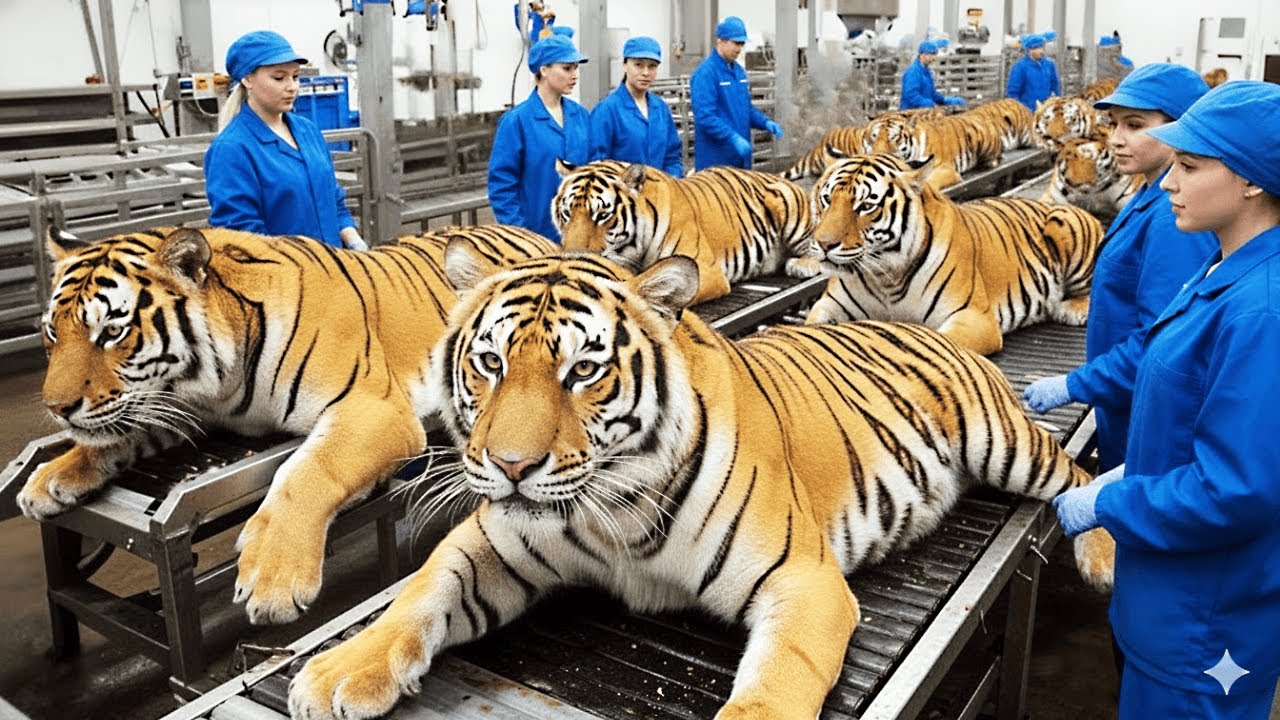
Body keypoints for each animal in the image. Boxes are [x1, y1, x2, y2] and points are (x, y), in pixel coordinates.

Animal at [16, 224, 554, 625]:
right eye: (51, 332)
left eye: (112, 332)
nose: (57, 407)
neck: (217, 384)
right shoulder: (184, 409)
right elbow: (122, 433)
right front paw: (50, 478)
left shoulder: (374, 409)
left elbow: (305, 473)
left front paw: (272, 578)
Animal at [286, 246, 1108, 720]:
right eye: (490, 363)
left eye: (582, 371)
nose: (512, 466)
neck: (609, 512)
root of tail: (911, 325)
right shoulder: (495, 541)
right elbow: (420, 592)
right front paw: (339, 671)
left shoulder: (803, 581)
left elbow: (772, 691)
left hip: (1004, 442)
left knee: (1075, 475)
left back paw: (1100, 556)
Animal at [553, 160, 819, 304]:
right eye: (567, 213)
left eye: (602, 215)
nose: (573, 255)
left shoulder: (703, 271)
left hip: (790, 207)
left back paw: (802, 265)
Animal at [803, 153, 1102, 355]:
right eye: (827, 199)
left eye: (865, 206)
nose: (824, 244)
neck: (886, 277)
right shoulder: (829, 306)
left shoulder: (974, 318)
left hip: (1064, 221)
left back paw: (1070, 309)